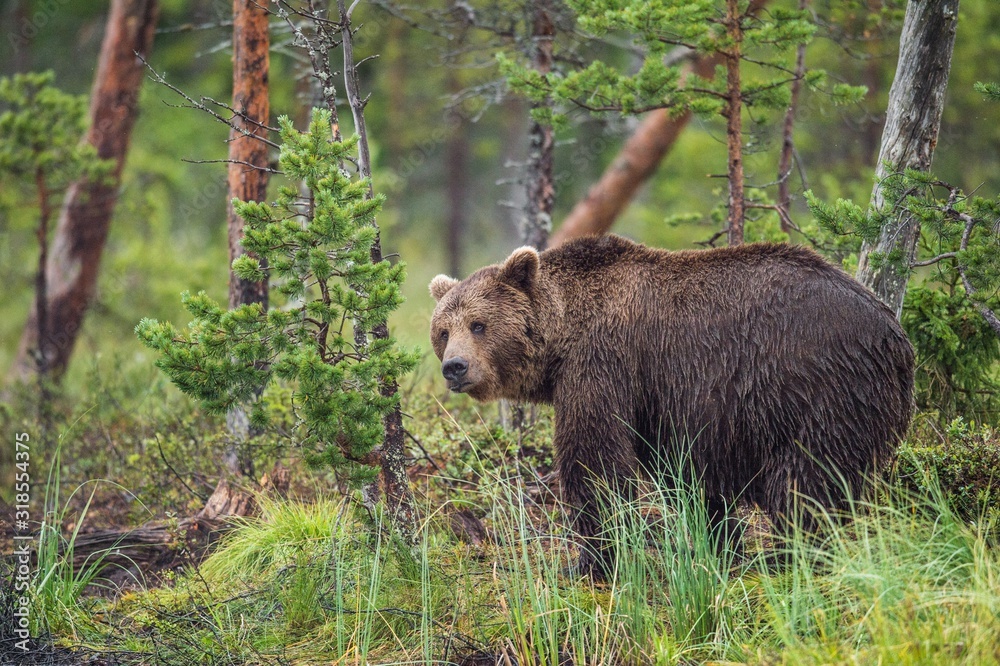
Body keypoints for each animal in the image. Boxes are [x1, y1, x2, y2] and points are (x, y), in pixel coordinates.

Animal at [430, 236, 916, 572]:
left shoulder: (605, 364)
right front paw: (720, 542)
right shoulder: (668, 401)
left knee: (807, 481)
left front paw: (589, 560)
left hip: (819, 387)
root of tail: (895, 334)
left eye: (479, 324)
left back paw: (789, 555)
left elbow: (596, 460)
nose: (454, 367)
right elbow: (689, 475)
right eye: (443, 330)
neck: (562, 338)